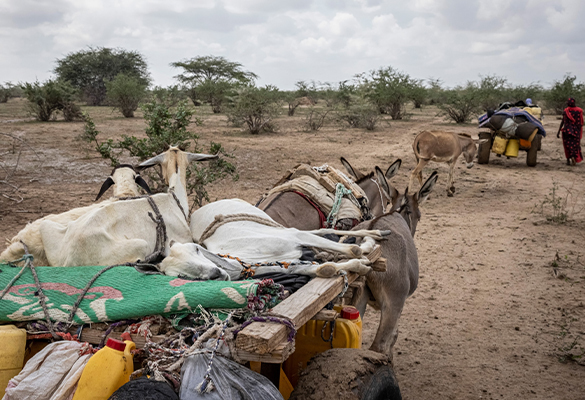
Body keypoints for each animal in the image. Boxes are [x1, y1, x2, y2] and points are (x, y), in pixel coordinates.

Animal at [157, 198, 390, 280]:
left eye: (196, 249)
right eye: (181, 275)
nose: (217, 274)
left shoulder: (292, 236)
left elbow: (352, 250)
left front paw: (364, 253)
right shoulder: (286, 262)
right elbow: (323, 268)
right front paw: (359, 266)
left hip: (279, 227)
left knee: (320, 232)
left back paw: (375, 236)